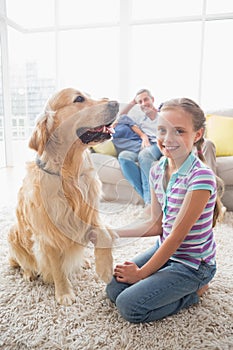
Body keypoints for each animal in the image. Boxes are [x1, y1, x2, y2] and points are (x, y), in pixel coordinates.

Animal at [8, 89, 119, 304]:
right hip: (13, 233)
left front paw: (105, 269)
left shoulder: (89, 214)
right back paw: (28, 273)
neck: (69, 175)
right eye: (79, 99)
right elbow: (57, 268)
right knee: (23, 261)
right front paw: (64, 293)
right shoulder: (48, 236)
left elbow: (103, 234)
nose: (116, 103)